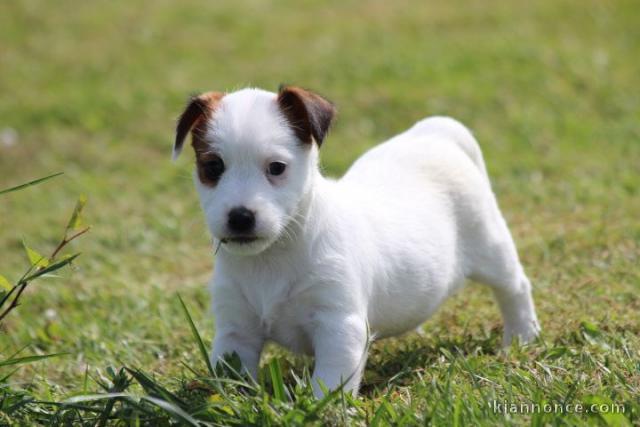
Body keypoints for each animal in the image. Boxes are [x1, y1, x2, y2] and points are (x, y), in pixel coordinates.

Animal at [171, 85, 540, 396]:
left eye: (276, 167)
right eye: (212, 167)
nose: (240, 217)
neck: (272, 256)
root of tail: (435, 134)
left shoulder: (338, 325)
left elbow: (328, 385)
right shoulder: (235, 330)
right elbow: (232, 375)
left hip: (490, 245)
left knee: (514, 287)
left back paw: (522, 336)